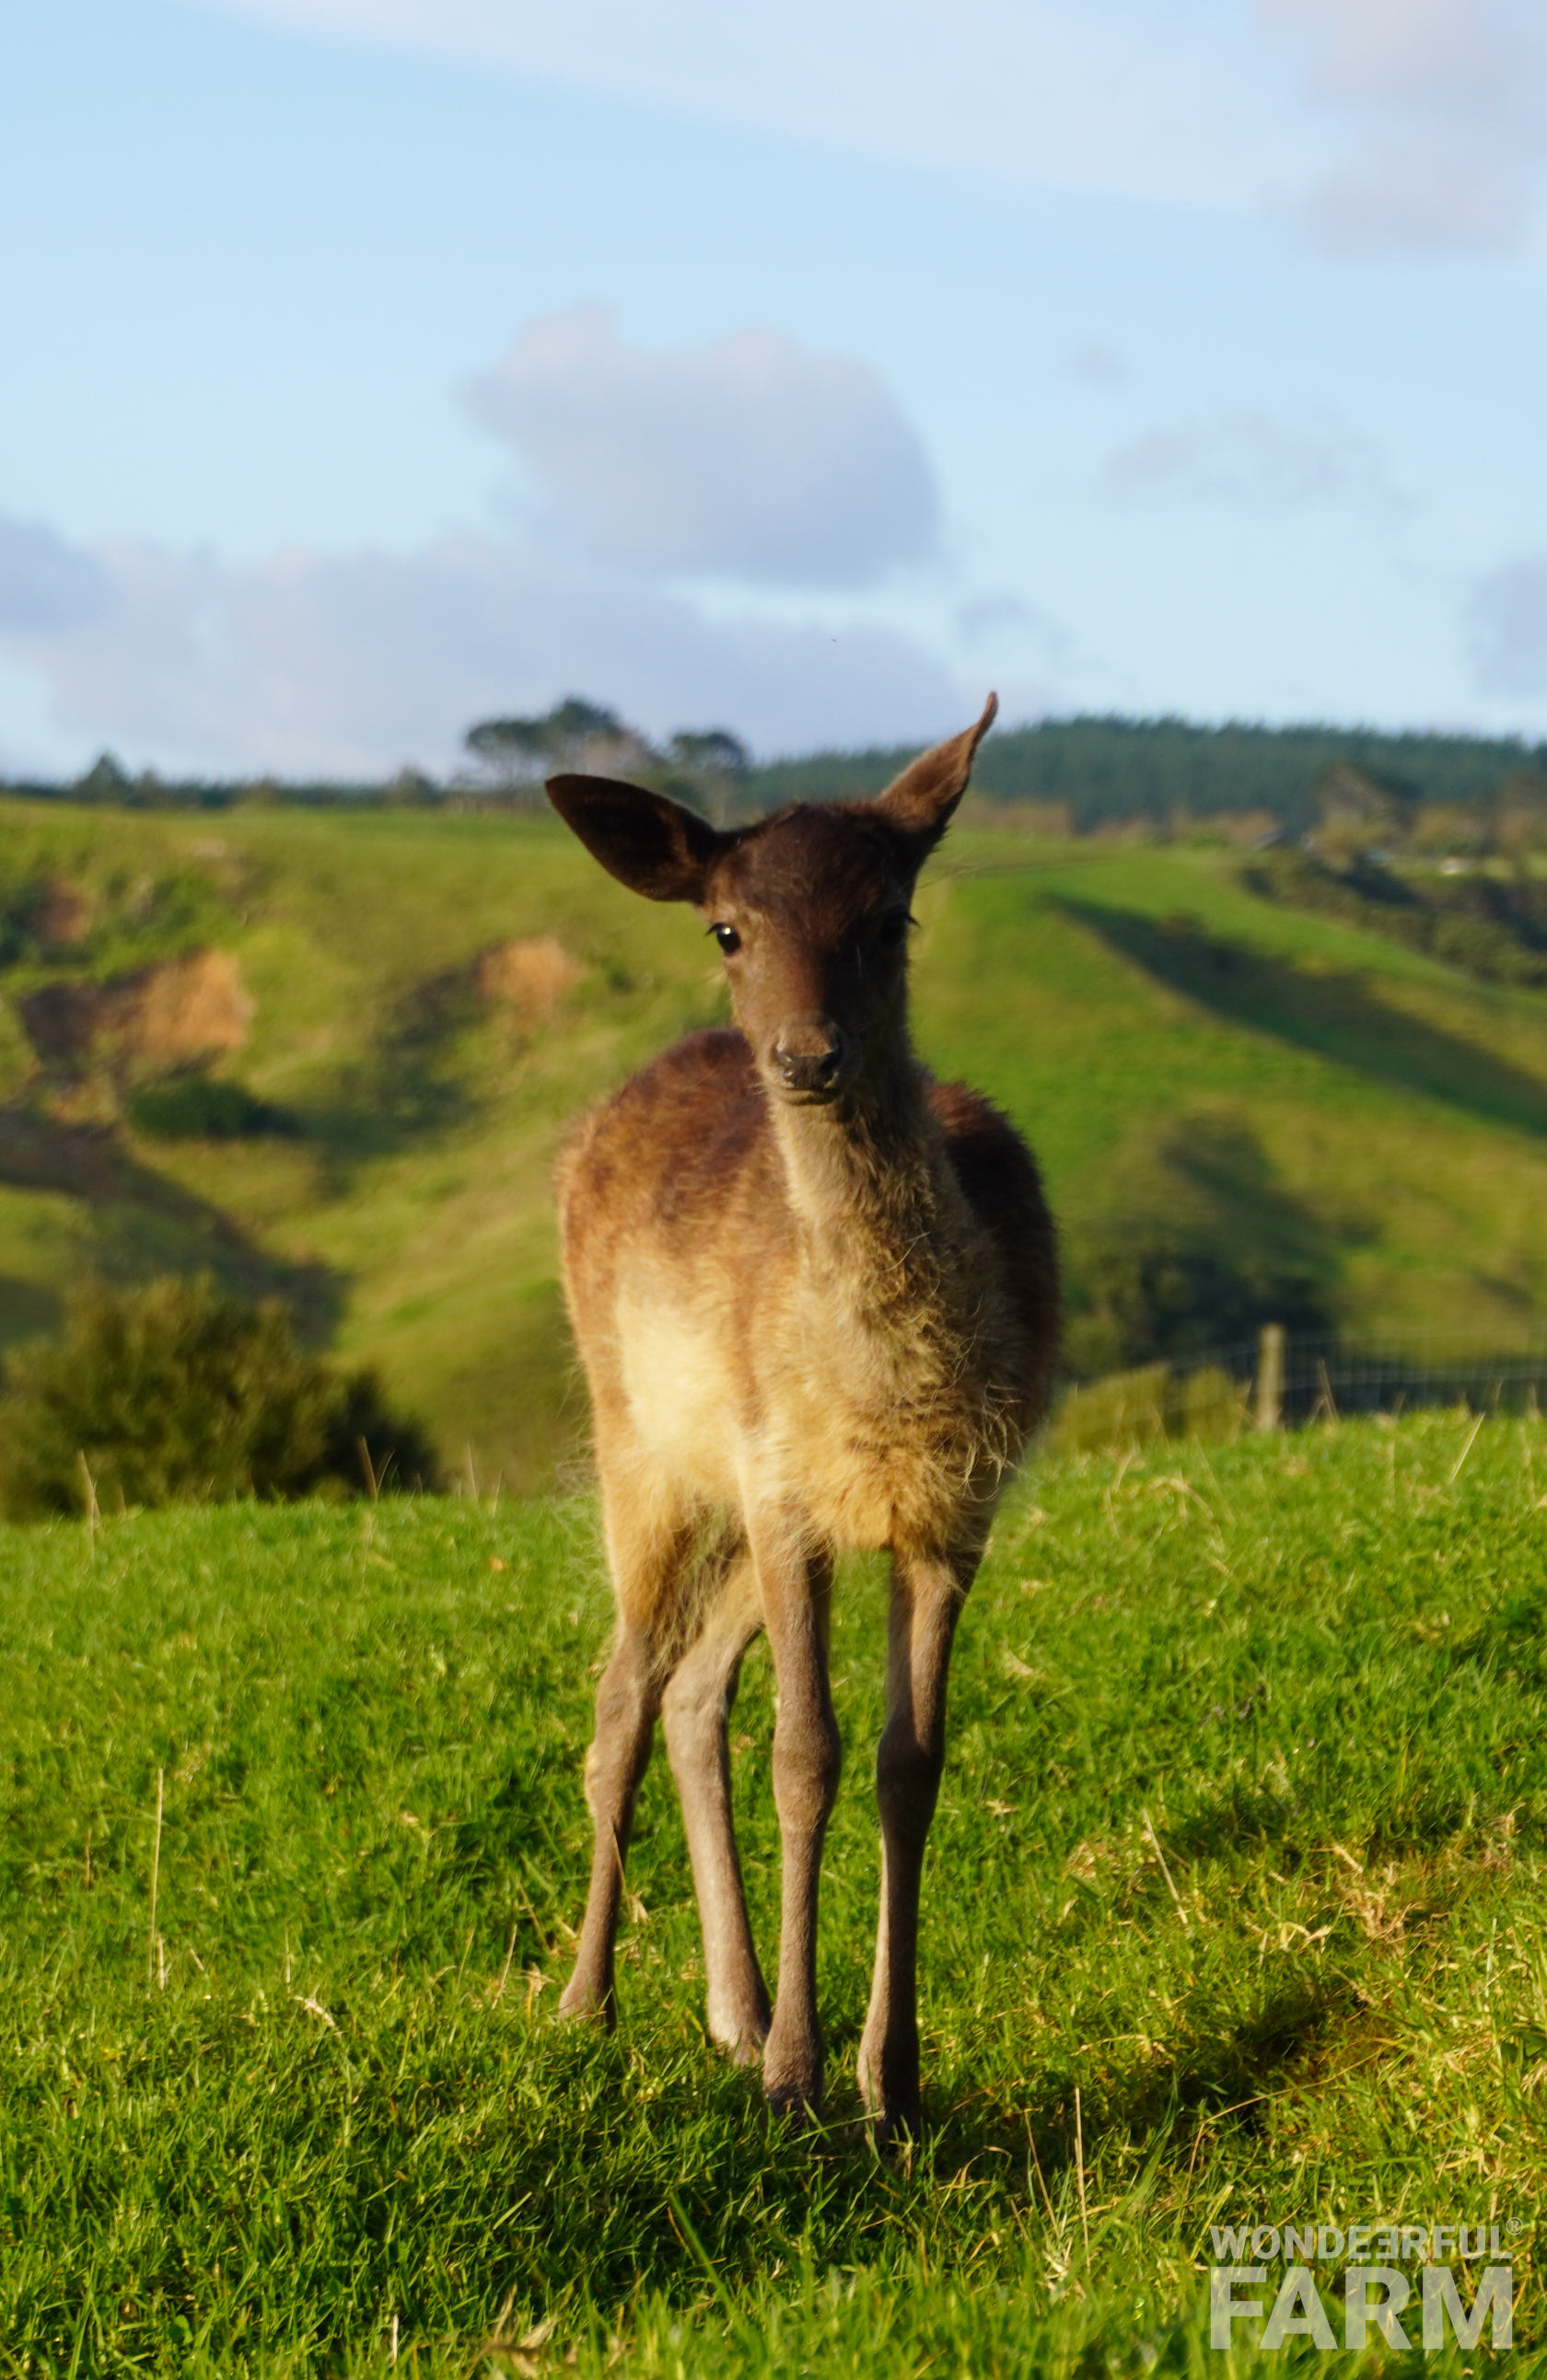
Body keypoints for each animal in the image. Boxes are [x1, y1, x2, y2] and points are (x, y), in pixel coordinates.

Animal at [542, 694, 1061, 2142]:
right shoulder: (781, 1482)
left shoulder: (951, 1510)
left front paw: (896, 2078)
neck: (884, 1390)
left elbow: (908, 1763)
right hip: (644, 1445)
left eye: (889, 915)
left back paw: (730, 2009)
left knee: (689, 1691)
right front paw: (799, 2079)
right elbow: (805, 1755)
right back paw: (591, 2000)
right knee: (622, 1692)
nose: (807, 1055)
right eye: (729, 928)